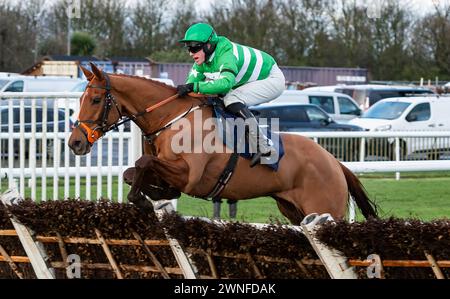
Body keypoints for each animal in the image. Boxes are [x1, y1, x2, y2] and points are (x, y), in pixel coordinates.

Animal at [67, 63, 376, 225]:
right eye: (80, 99)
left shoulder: (190, 176)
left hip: (328, 210)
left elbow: (143, 163)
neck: (170, 118)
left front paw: (144, 198)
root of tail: (334, 162)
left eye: (95, 99)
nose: (75, 143)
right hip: (293, 209)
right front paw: (153, 196)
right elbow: (131, 172)